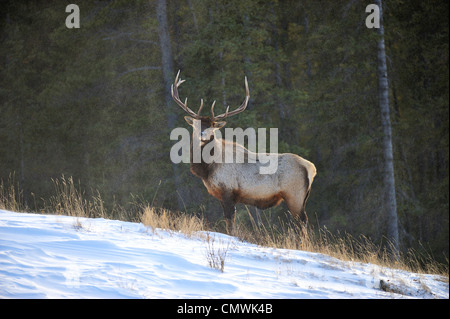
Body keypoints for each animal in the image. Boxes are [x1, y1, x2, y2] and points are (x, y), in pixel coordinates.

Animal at [172, 70, 316, 235]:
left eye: (213, 126)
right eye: (196, 124)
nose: (203, 134)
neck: (208, 168)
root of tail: (311, 168)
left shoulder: (228, 191)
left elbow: (230, 223)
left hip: (294, 195)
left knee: (302, 222)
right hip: (302, 197)